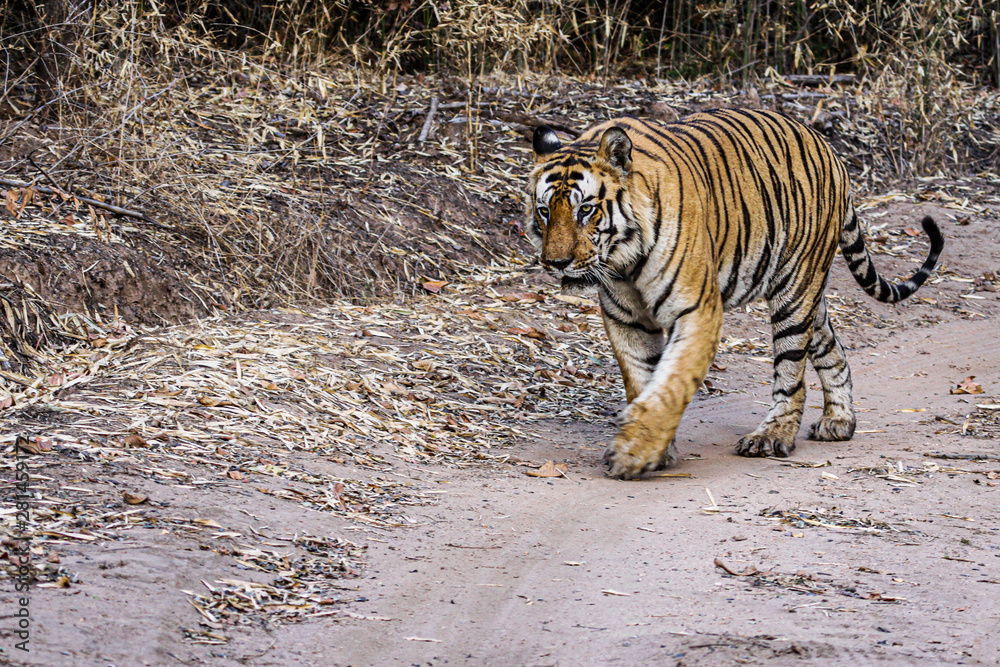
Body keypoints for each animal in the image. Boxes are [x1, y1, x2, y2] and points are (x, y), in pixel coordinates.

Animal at [524, 108, 943, 479]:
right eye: (545, 211)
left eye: (586, 210)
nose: (556, 262)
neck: (624, 261)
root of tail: (831, 152)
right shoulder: (625, 319)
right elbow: (642, 379)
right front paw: (654, 446)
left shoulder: (697, 309)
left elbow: (673, 382)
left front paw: (635, 451)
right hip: (810, 296)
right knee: (831, 348)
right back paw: (839, 420)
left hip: (795, 291)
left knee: (792, 375)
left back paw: (772, 436)